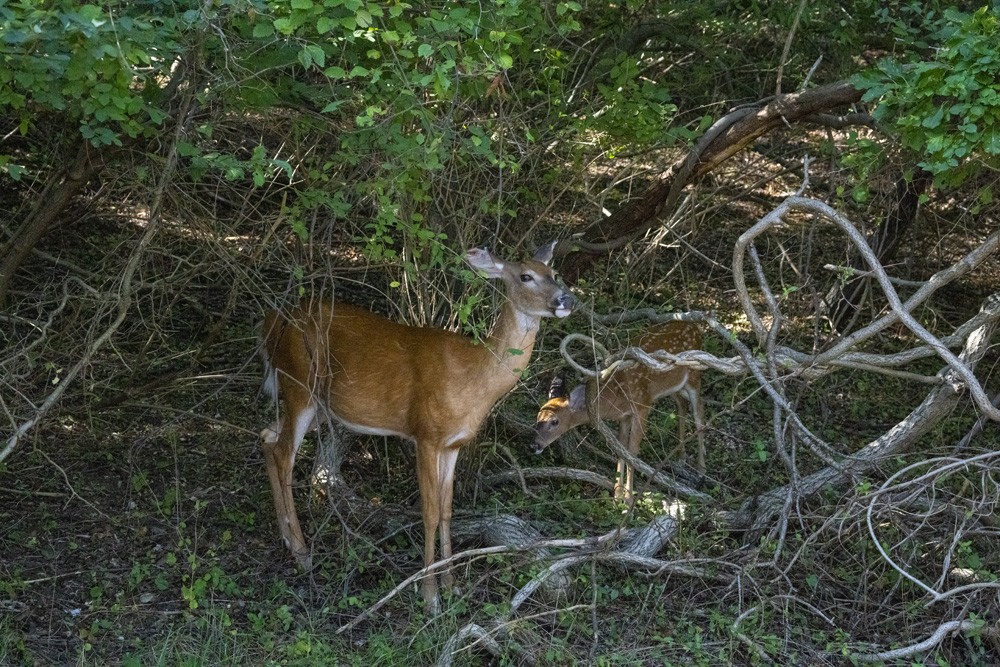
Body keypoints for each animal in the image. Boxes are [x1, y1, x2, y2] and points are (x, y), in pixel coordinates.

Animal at [258, 243, 576, 612]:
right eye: (526, 276)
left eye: (553, 272)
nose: (567, 298)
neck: (475, 378)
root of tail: (272, 322)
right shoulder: (426, 434)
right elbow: (430, 512)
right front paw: (430, 596)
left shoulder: (453, 444)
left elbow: (448, 510)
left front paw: (451, 584)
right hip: (300, 384)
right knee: (284, 456)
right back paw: (301, 552)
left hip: (321, 406)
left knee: (267, 437)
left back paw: (286, 538)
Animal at [532, 320, 704, 500]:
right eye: (537, 417)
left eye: (555, 421)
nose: (534, 445)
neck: (614, 395)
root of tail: (694, 326)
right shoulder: (624, 416)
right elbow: (621, 450)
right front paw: (617, 494)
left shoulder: (643, 405)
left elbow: (632, 452)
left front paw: (628, 500)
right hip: (674, 386)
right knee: (682, 405)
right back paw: (682, 458)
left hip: (694, 374)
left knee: (699, 411)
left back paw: (701, 472)